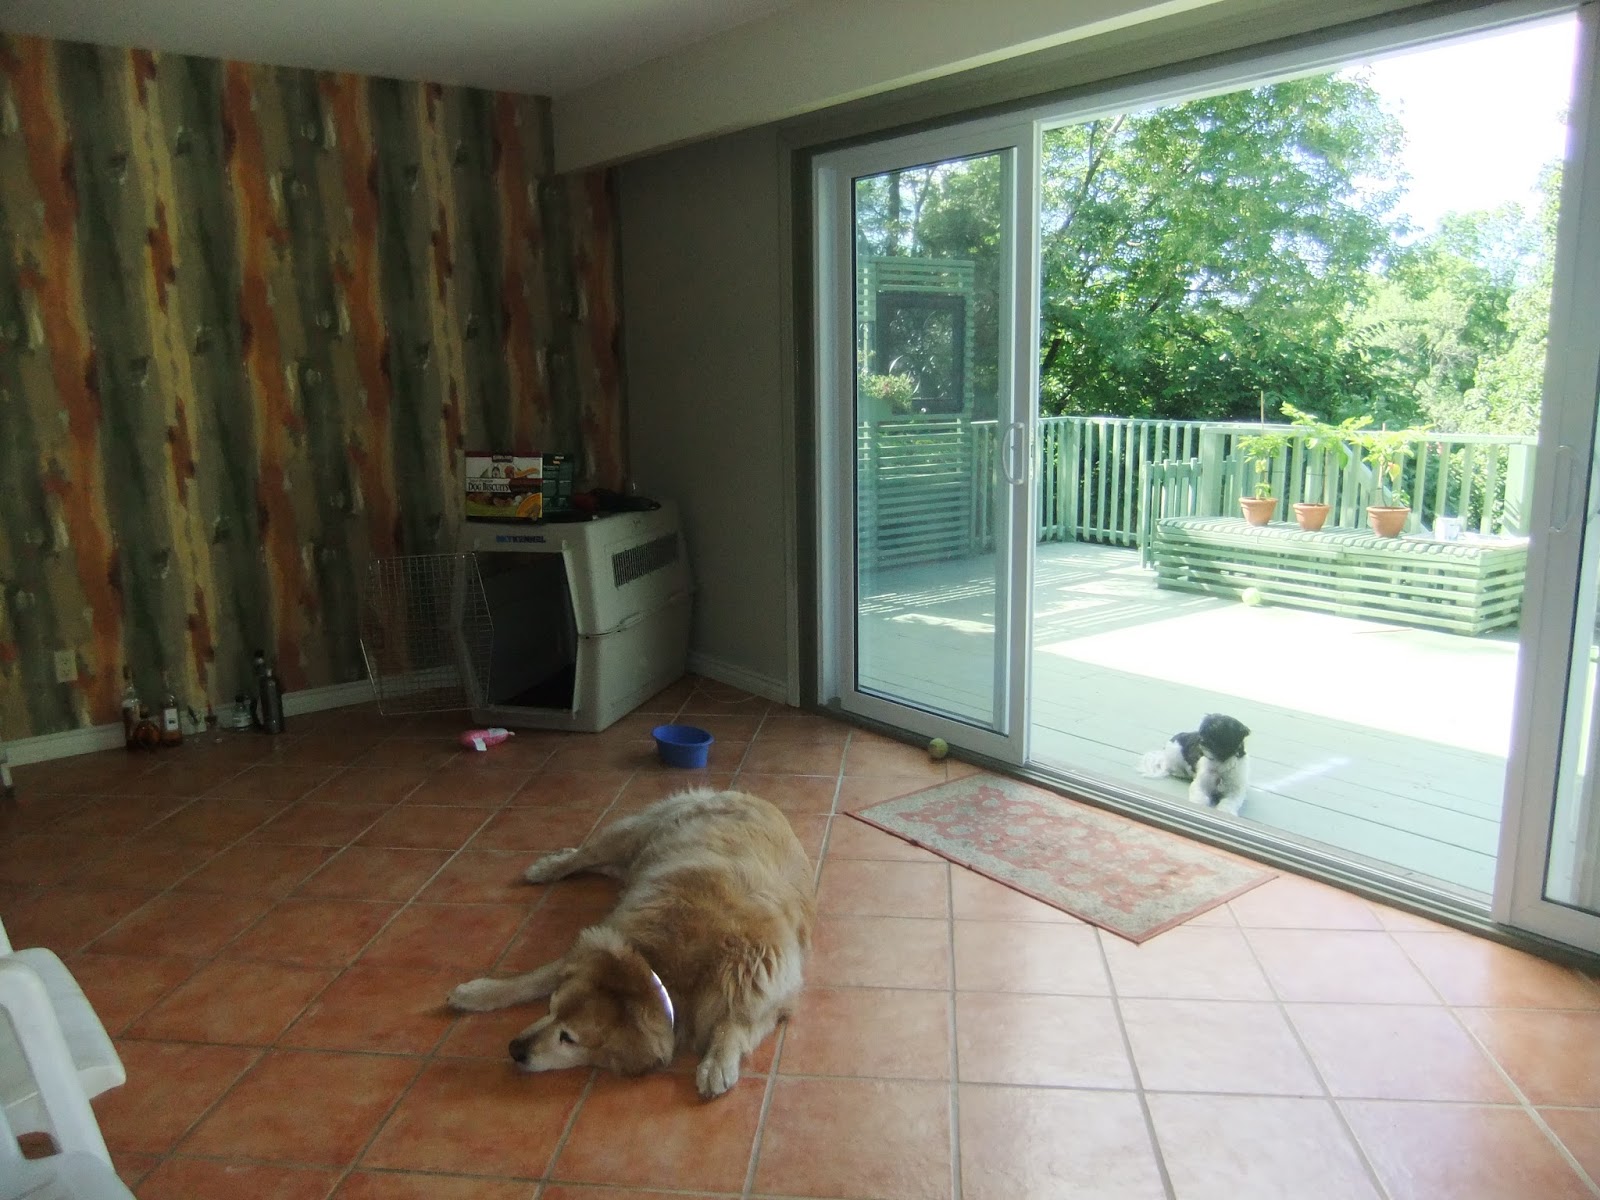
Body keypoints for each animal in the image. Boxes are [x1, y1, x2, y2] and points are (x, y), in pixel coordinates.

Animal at [447, 788, 813, 1099]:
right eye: (550, 1008)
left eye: (569, 1038)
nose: (515, 1050)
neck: (667, 963)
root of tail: (750, 795)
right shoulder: (595, 946)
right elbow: (530, 979)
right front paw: (478, 993)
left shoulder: (772, 991)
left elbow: (736, 1023)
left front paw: (717, 1063)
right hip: (631, 835)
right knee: (586, 854)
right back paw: (548, 867)